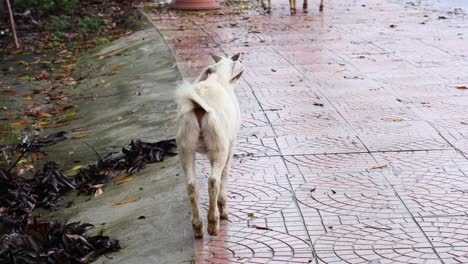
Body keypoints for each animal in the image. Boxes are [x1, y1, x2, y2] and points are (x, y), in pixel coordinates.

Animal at [176, 53, 245, 237]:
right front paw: (224, 211)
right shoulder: (231, 144)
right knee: (213, 181)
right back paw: (213, 223)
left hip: (185, 147)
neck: (219, 78)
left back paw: (198, 227)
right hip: (219, 145)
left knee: (191, 185)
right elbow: (225, 174)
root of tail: (198, 105)